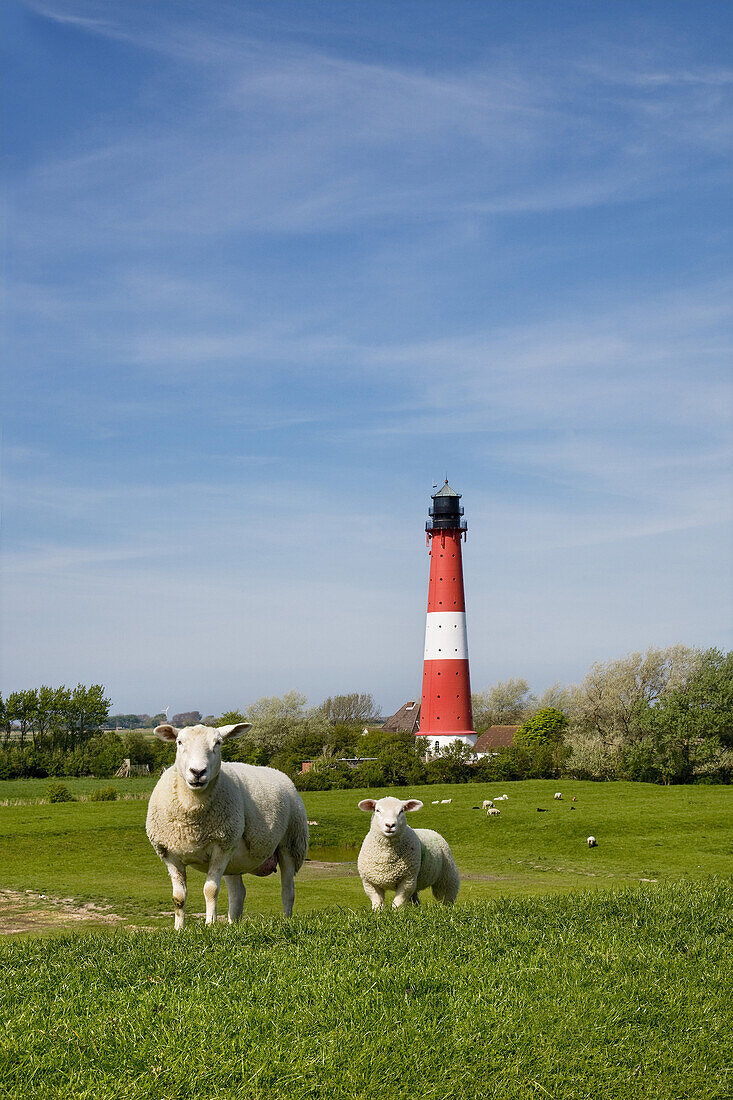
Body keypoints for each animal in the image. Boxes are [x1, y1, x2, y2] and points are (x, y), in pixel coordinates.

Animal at [145, 721, 308, 928]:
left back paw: (287, 920)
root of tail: (278, 773)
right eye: (179, 742)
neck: (191, 812)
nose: (197, 772)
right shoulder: (169, 853)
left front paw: (210, 925)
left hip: (290, 844)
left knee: (287, 890)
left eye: (218, 743)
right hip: (234, 857)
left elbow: (210, 890)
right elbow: (178, 897)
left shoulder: (220, 847)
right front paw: (179, 929)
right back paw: (233, 925)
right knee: (238, 893)